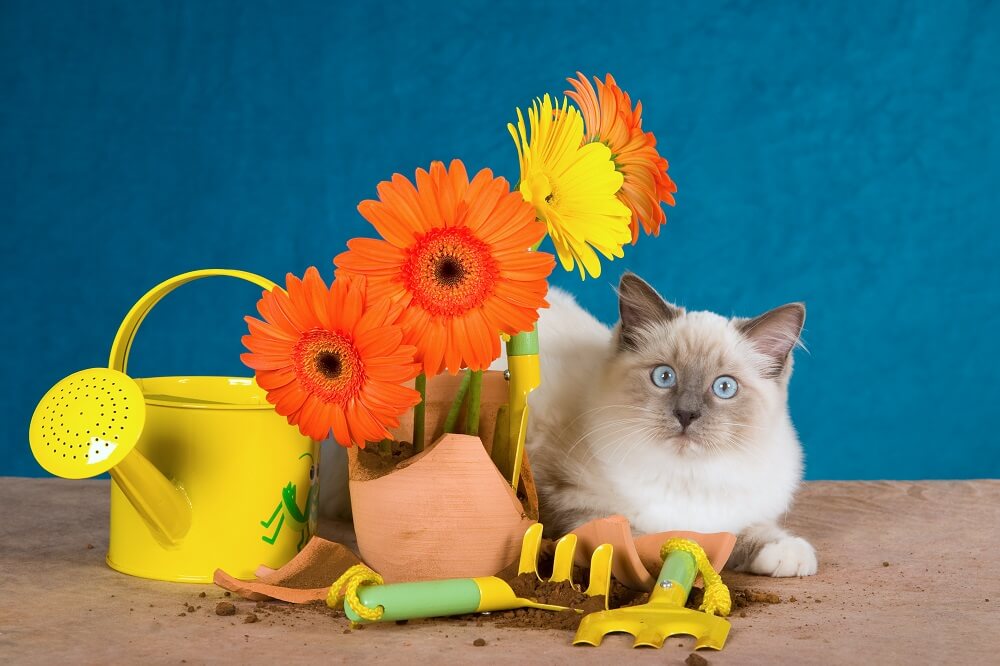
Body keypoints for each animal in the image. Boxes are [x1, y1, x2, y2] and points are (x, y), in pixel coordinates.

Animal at [520, 272, 816, 572]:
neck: (686, 476)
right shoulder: (567, 498)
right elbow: (634, 537)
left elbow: (740, 532)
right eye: (664, 377)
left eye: (724, 387)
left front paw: (785, 552)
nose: (686, 414)